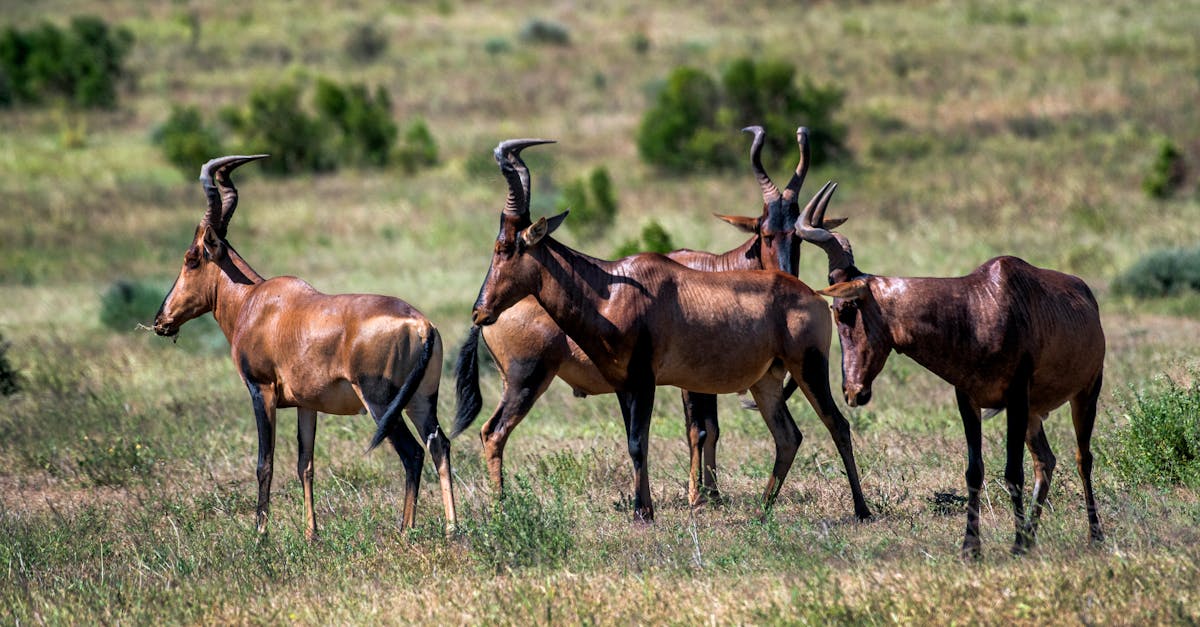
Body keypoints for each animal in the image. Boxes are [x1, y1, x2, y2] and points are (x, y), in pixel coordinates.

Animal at [157, 154, 456, 535]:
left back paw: (405, 531)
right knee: (439, 445)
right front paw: (311, 533)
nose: (161, 320)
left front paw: (260, 535)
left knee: (412, 453)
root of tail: (421, 325)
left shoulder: (261, 391)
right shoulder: (306, 404)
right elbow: (305, 464)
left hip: (381, 402)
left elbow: (265, 463)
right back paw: (452, 528)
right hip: (421, 400)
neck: (257, 301)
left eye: (191, 257)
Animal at [463, 138, 868, 521]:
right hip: (766, 379)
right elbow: (640, 442)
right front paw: (651, 508)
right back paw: (762, 510)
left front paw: (648, 510)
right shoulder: (624, 384)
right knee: (788, 437)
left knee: (836, 424)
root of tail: (813, 294)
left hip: (808, 367)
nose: (479, 310)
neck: (611, 287)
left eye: (505, 246)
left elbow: (644, 441)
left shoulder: (645, 381)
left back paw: (861, 510)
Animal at [801, 196, 1099, 557]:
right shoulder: (967, 399)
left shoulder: (1016, 397)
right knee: (1047, 461)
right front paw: (971, 548)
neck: (980, 304)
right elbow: (974, 470)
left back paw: (1093, 536)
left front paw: (1010, 545)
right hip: (1034, 414)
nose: (852, 391)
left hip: (1085, 392)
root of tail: (1086, 294)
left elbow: (1013, 472)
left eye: (845, 309)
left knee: (1083, 458)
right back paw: (1029, 541)